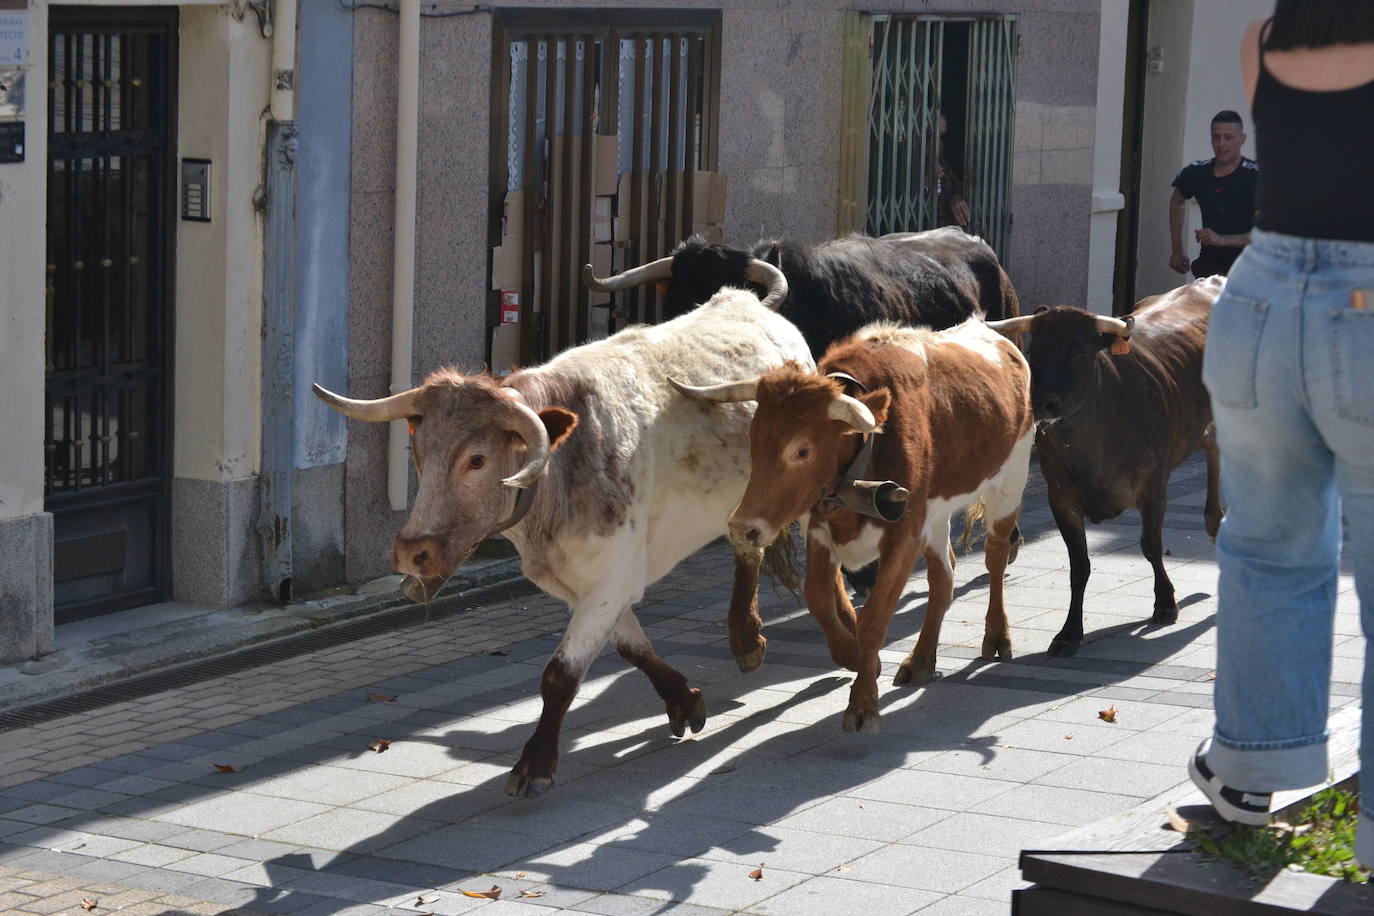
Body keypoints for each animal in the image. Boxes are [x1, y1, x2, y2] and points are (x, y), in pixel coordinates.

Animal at [670, 318, 1033, 736]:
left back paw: (996, 635)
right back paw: (921, 660)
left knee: (995, 557)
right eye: (753, 442)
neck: (862, 464)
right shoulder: (821, 529)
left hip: (1010, 481)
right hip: (937, 515)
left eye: (803, 450)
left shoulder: (904, 535)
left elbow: (874, 619)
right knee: (944, 578)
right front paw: (854, 656)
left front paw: (862, 703)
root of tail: (992, 333)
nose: (742, 527)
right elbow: (818, 598)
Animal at [989, 276, 1225, 656]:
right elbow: (1079, 566)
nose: (1042, 403)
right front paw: (1070, 632)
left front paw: (1165, 602)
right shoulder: (1061, 498)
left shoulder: (1154, 487)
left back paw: (1217, 521)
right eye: (1034, 353)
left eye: (1080, 353)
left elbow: (1151, 544)